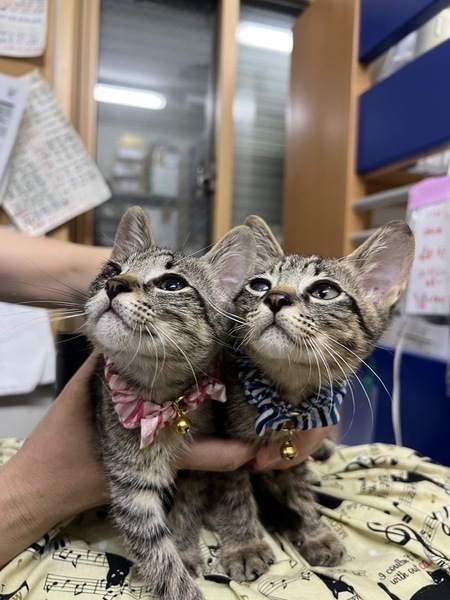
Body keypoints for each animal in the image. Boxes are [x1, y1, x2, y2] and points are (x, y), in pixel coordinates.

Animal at [84, 206, 256, 600]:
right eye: (111, 270)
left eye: (172, 284)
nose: (114, 284)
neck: (164, 400)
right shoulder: (131, 484)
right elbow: (158, 556)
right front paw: (183, 584)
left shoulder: (197, 468)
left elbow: (187, 508)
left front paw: (185, 547)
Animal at [202, 215, 415, 581]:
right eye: (259, 285)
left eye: (325, 291)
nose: (275, 297)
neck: (285, 397)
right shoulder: (225, 450)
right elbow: (234, 494)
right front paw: (244, 544)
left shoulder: (296, 450)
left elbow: (298, 489)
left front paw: (314, 531)